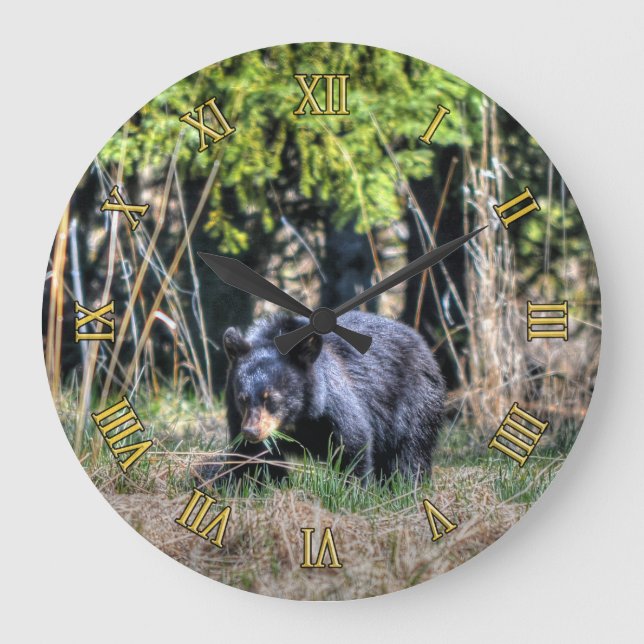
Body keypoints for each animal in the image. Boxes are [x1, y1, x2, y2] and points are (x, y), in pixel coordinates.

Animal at [220, 311, 445, 481]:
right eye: (242, 399)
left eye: (271, 398)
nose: (251, 431)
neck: (298, 418)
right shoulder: (237, 415)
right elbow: (254, 458)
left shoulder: (333, 403)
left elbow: (353, 443)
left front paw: (353, 490)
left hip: (414, 402)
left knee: (409, 451)